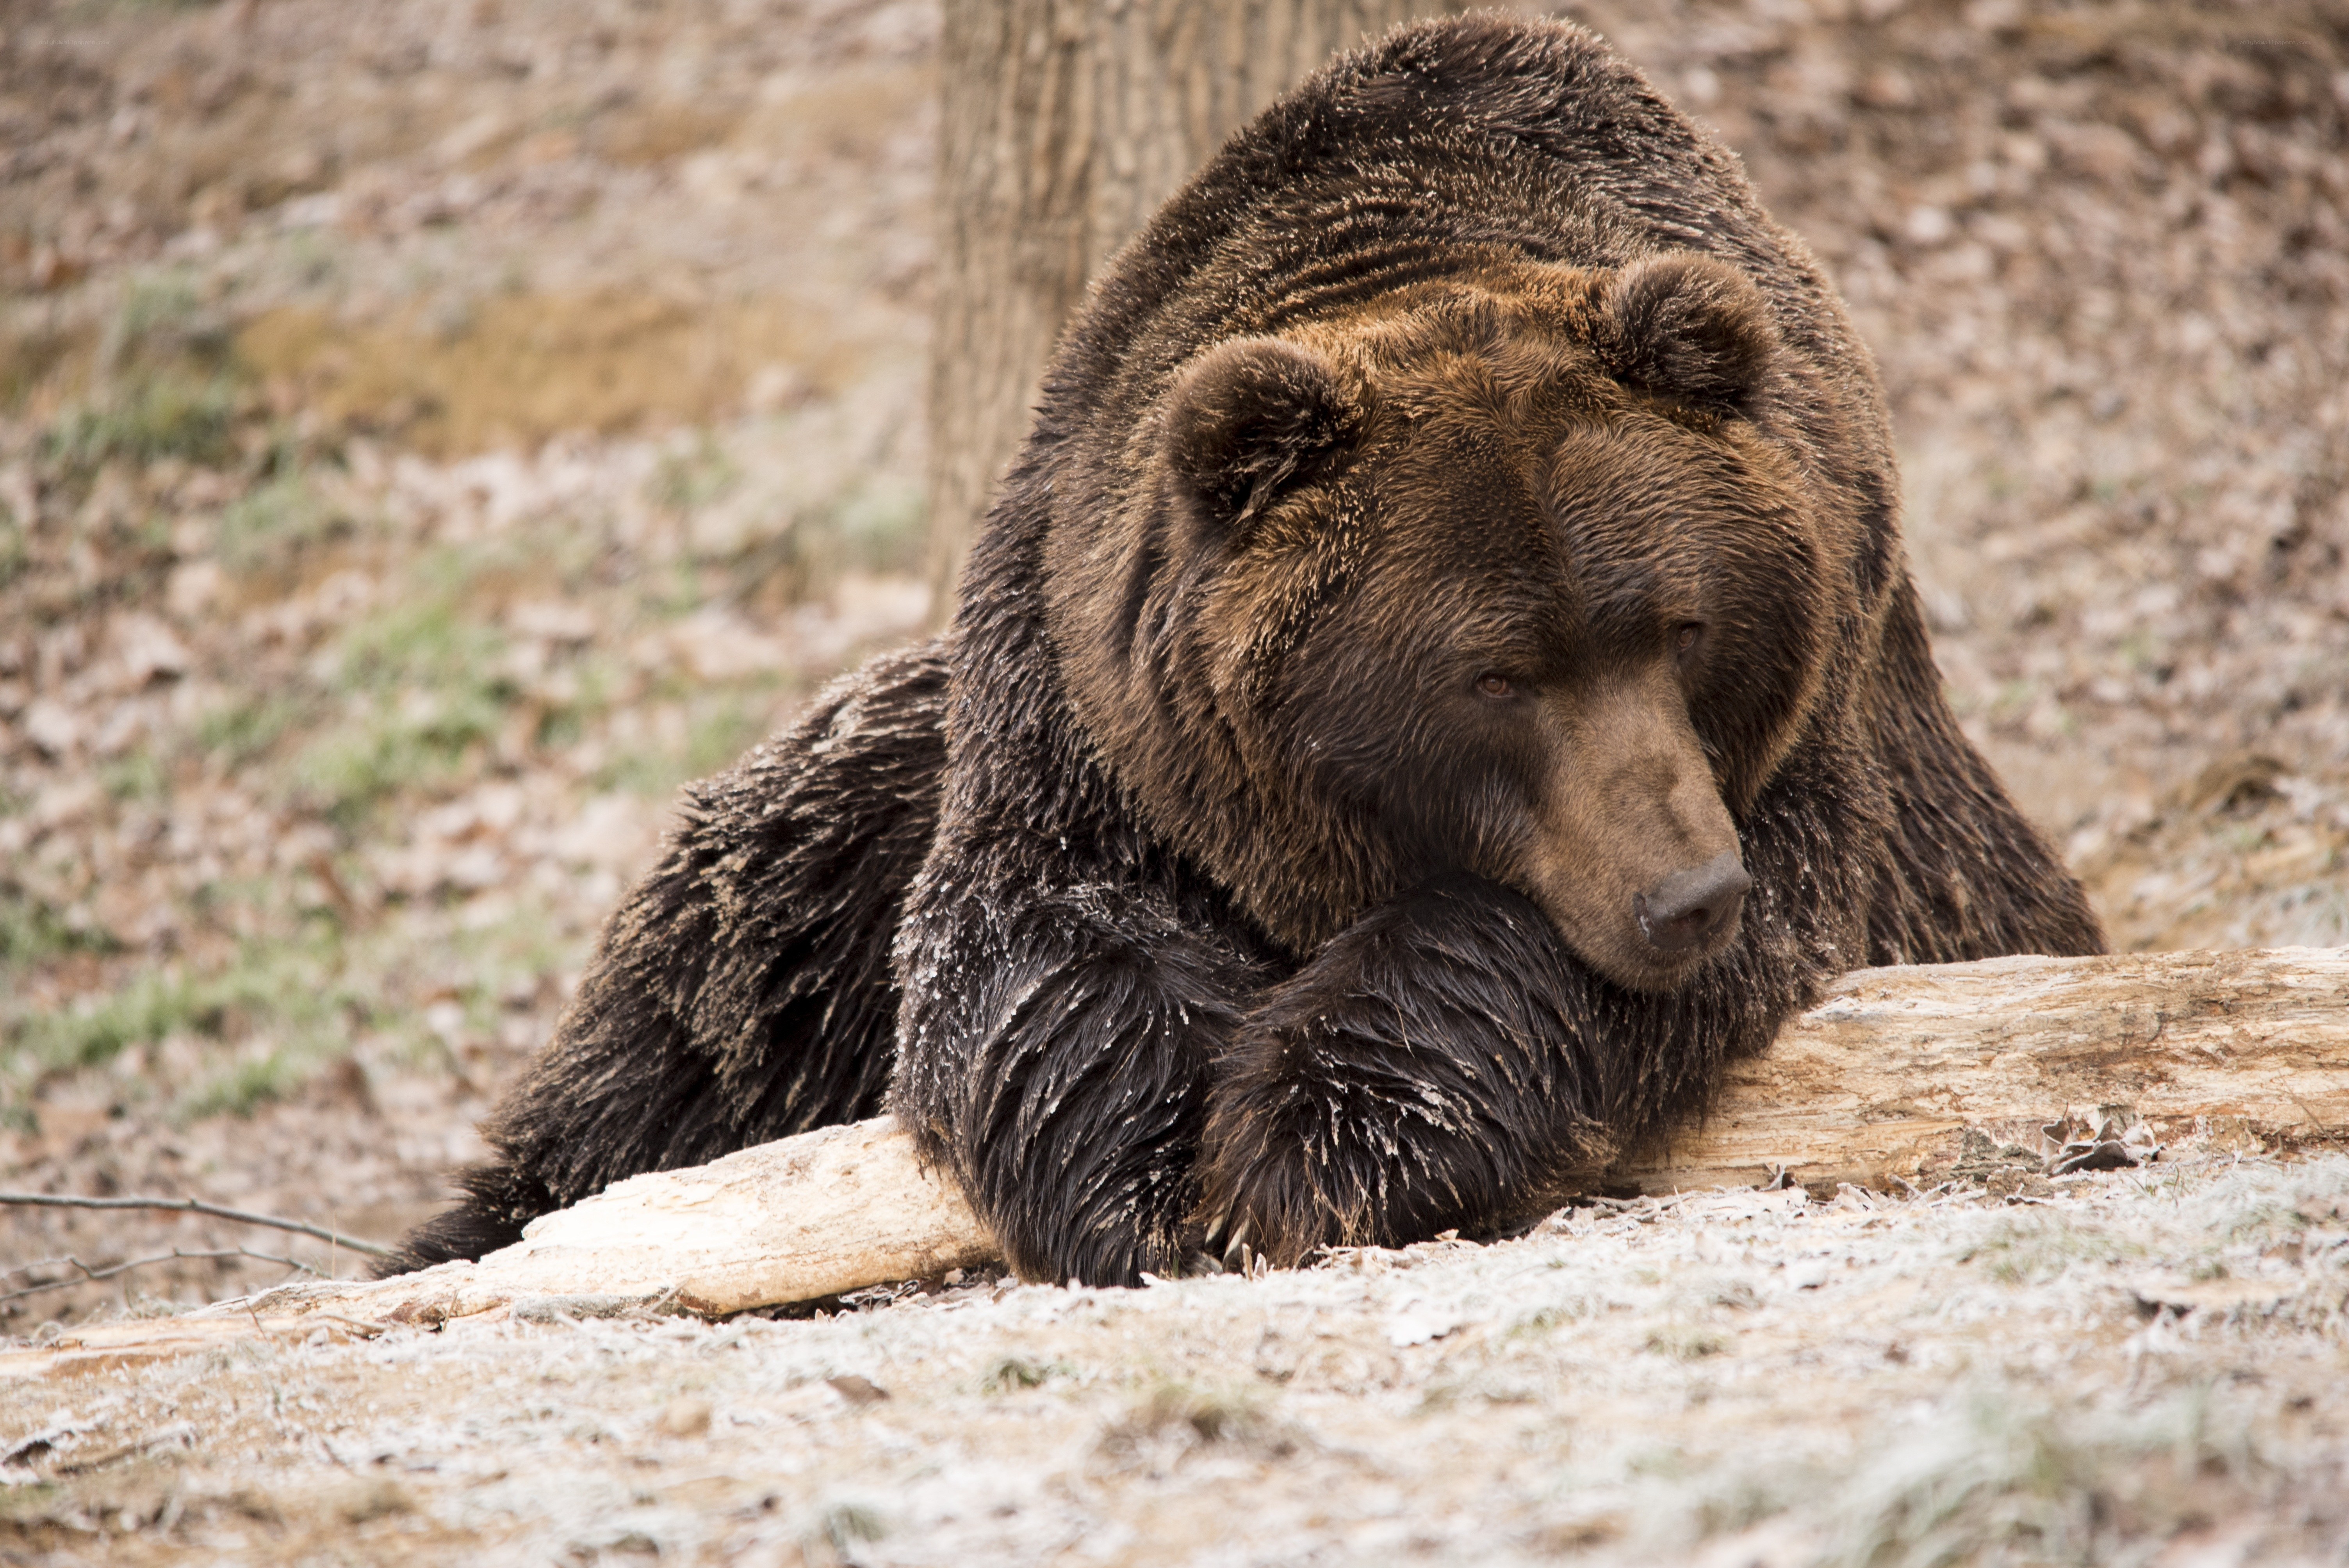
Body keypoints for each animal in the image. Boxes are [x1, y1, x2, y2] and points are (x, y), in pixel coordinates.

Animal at [383, 14, 2103, 1287]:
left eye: (1679, 624)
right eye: (1495, 672)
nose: (1682, 893)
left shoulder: (1811, 746)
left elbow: (1553, 944)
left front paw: (1309, 1134)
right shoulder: (1083, 700)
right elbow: (1033, 939)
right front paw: (1152, 1170)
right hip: (844, 817)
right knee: (714, 978)